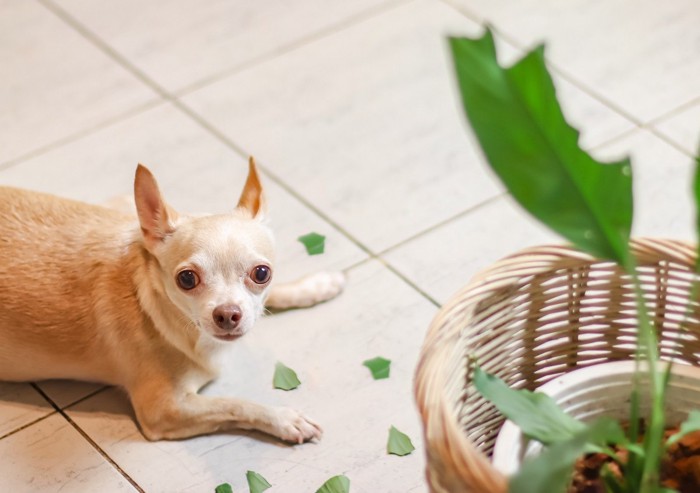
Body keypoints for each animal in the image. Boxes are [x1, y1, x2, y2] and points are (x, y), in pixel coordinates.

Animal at [0, 160, 344, 442]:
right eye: (187, 279)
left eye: (262, 273)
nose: (228, 314)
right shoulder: (165, 410)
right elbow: (234, 404)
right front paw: (284, 419)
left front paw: (316, 285)